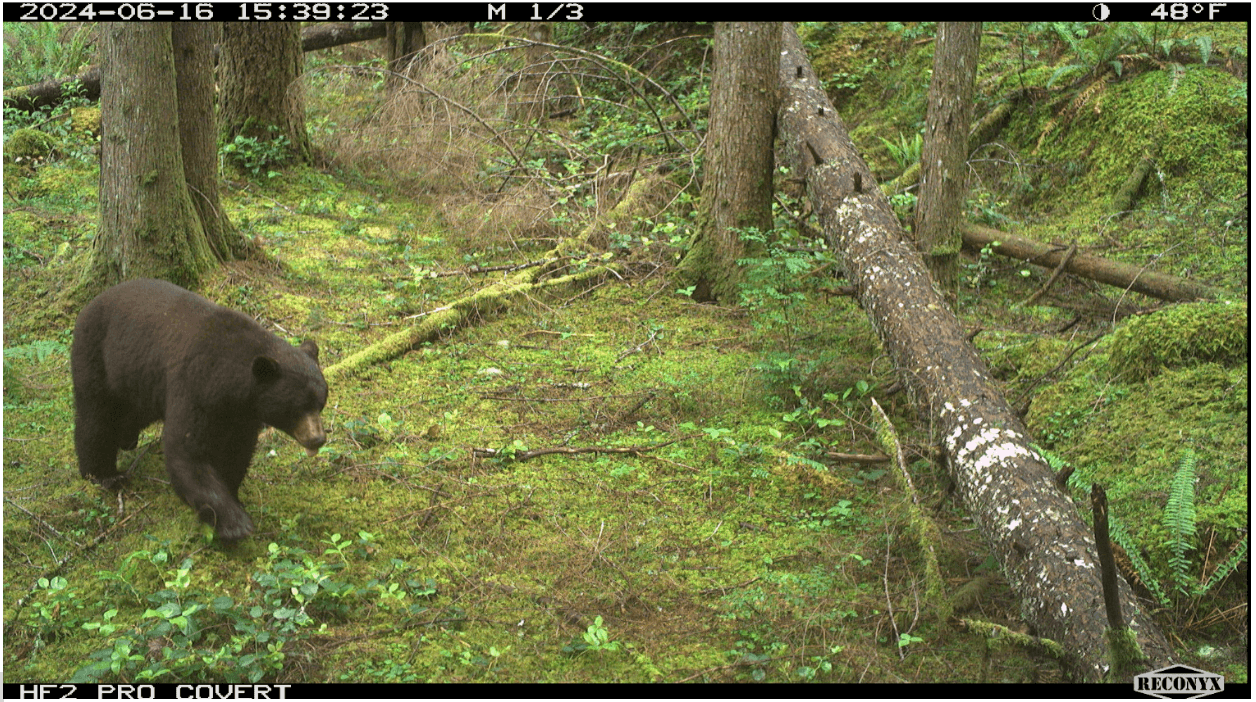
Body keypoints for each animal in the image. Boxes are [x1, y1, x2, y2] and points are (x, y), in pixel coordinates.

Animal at [71, 278, 328, 542]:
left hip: (140, 379)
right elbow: (187, 450)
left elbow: (236, 452)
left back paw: (126, 438)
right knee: (96, 416)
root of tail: (91, 303)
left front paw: (233, 497)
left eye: (321, 402)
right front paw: (233, 524)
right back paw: (104, 474)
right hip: (98, 355)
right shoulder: (194, 385)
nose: (317, 438)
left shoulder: (242, 415)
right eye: (296, 408)